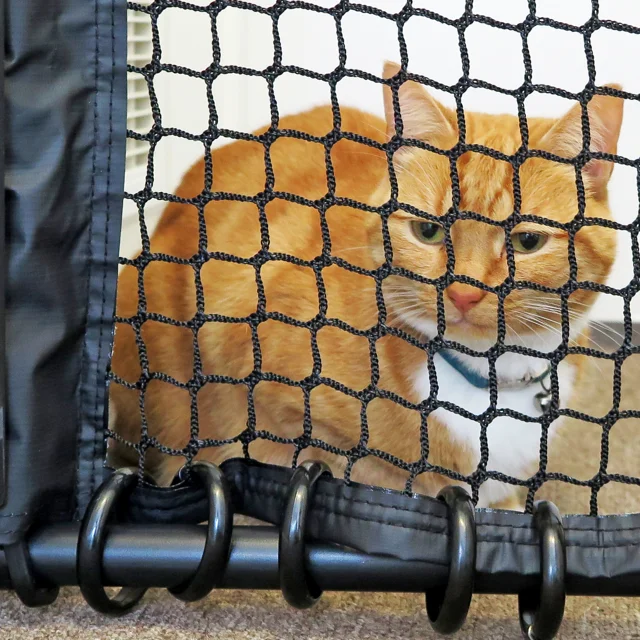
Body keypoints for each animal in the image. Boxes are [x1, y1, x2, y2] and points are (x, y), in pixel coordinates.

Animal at [109, 62, 620, 508]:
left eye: (527, 241)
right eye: (428, 231)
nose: (463, 292)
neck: (490, 377)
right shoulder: (250, 377)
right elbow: (367, 469)